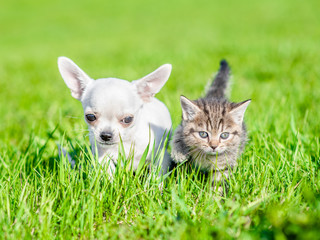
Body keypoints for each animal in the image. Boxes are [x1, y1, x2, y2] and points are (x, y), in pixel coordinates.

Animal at [171, 59, 251, 188]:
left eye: (224, 135)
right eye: (203, 134)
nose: (214, 146)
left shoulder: (224, 163)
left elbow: (218, 180)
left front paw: (214, 193)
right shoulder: (182, 126)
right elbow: (178, 136)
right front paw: (178, 152)